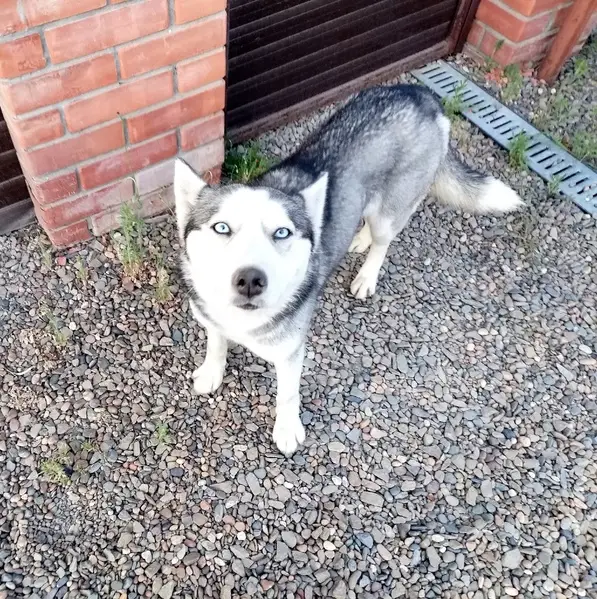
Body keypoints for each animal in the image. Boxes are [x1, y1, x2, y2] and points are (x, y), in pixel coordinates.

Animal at [174, 84, 522, 456]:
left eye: (282, 232)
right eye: (222, 228)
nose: (250, 280)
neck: (242, 321)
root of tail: (420, 93)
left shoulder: (290, 353)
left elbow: (287, 395)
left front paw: (287, 430)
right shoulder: (211, 317)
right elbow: (216, 343)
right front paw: (212, 371)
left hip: (391, 211)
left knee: (384, 241)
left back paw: (367, 275)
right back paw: (359, 239)